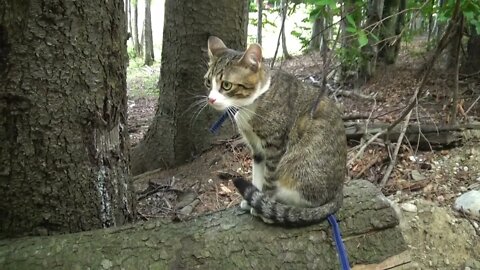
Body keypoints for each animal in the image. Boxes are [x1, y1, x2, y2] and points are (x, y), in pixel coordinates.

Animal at [204, 36, 346, 226]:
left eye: (226, 85)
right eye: (208, 82)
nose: (211, 99)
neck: (251, 104)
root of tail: (338, 191)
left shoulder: (275, 146)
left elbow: (269, 179)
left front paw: (264, 203)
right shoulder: (257, 149)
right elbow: (257, 174)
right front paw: (254, 198)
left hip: (298, 166)